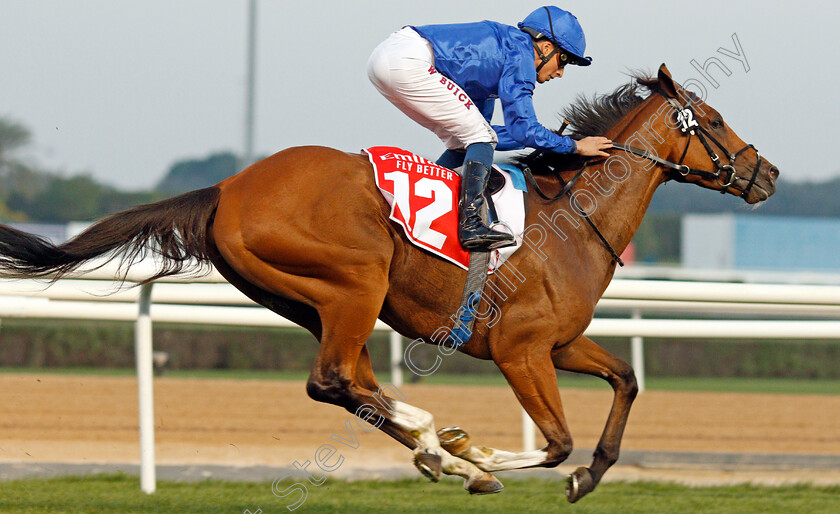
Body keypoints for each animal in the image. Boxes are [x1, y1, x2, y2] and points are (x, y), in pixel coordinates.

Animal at [0, 64, 776, 500]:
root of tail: (227, 187)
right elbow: (555, 440)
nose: (765, 172)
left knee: (352, 384)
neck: (574, 219)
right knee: (332, 381)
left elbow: (625, 379)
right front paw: (480, 450)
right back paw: (444, 446)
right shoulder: (521, 351)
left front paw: (587, 474)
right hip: (356, 279)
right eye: (711, 120)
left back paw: (440, 454)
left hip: (309, 300)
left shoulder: (558, 344)